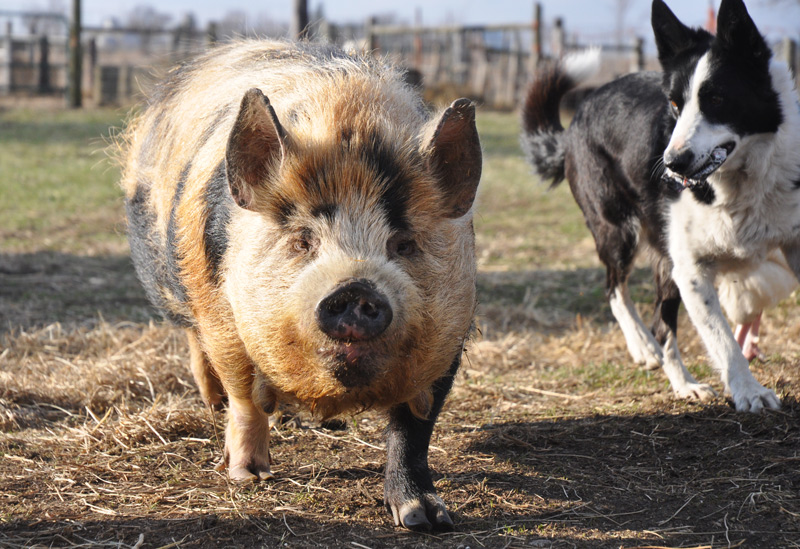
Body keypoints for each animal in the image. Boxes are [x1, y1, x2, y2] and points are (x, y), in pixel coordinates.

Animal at [119, 40, 482, 531]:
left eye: (404, 243)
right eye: (302, 240)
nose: (355, 289)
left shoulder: (450, 331)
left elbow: (414, 429)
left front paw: (425, 518)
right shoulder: (223, 315)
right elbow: (244, 396)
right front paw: (250, 477)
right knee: (195, 341)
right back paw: (213, 404)